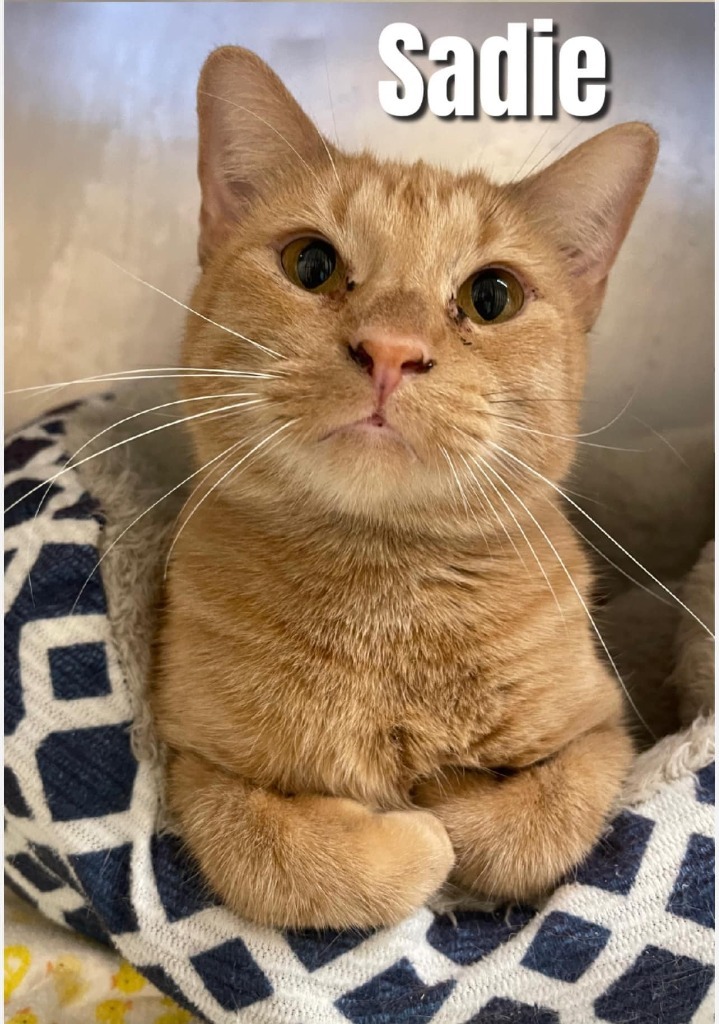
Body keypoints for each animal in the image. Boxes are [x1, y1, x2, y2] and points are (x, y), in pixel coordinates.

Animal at [150, 46, 659, 929]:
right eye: (310, 264)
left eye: (490, 297)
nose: (390, 350)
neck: (384, 596)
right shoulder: (196, 763)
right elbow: (273, 854)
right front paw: (411, 842)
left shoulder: (601, 731)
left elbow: (539, 821)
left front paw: (451, 813)